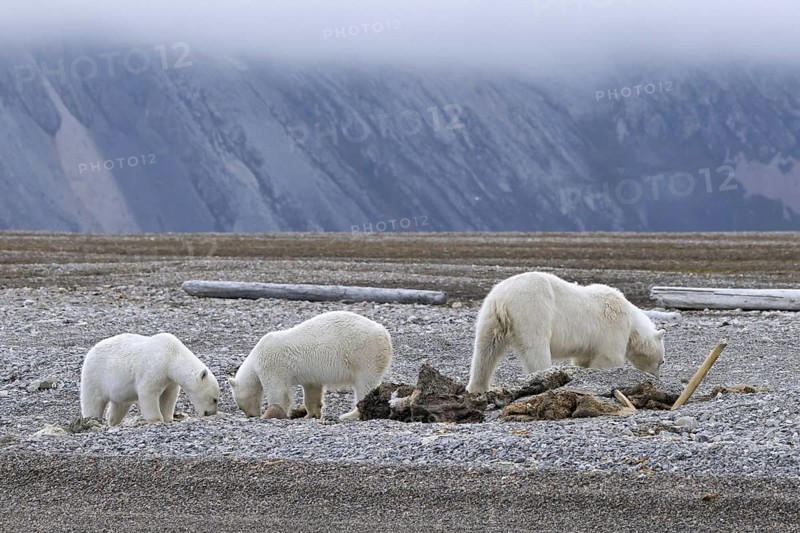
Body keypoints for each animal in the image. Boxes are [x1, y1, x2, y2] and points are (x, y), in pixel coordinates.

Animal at [80, 333, 220, 425]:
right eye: (214, 399)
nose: (210, 413)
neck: (172, 356)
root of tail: (92, 350)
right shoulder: (155, 367)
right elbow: (148, 392)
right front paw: (156, 419)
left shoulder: (169, 379)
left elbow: (169, 396)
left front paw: (168, 418)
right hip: (95, 375)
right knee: (92, 400)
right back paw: (92, 419)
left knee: (120, 405)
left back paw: (113, 421)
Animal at [228, 310, 393, 421]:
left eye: (239, 406)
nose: (251, 416)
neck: (255, 358)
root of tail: (385, 334)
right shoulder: (311, 376)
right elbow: (312, 391)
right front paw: (310, 414)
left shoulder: (272, 365)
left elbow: (279, 392)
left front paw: (272, 413)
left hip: (365, 354)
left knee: (365, 384)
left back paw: (350, 414)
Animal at [466, 272, 666, 393]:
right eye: (661, 361)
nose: (657, 379)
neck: (631, 320)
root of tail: (503, 299)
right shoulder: (614, 328)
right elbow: (610, 358)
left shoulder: (589, 344)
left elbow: (582, 360)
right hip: (532, 311)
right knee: (536, 351)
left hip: (489, 315)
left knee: (485, 351)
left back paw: (478, 387)